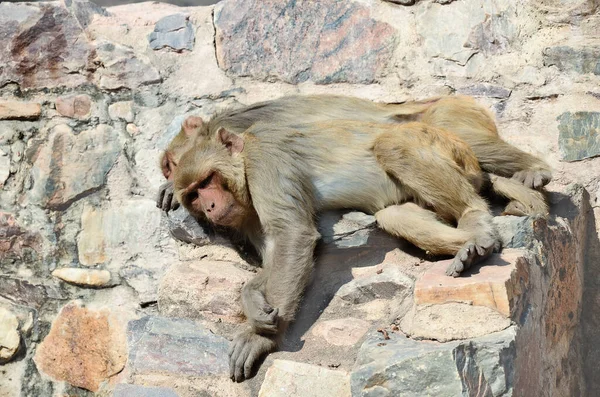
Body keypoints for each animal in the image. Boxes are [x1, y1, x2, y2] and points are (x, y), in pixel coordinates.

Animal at [172, 119, 502, 378]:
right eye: (193, 195)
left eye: (208, 180)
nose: (210, 206)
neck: (244, 160)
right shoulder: (246, 212)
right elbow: (277, 253)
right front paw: (251, 298)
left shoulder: (266, 160)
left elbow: (293, 235)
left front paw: (262, 338)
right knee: (393, 214)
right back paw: (471, 248)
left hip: (446, 147)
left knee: (392, 145)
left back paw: (474, 223)